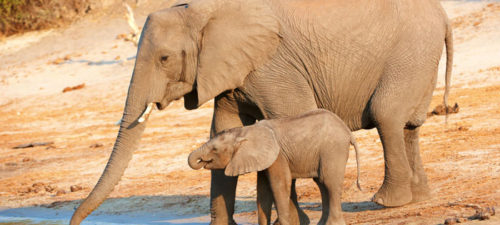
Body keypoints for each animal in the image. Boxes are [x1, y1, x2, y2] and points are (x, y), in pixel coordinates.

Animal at [188, 109, 360, 225]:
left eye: (215, 149)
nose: (200, 160)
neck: (245, 131)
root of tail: (347, 131)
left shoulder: (278, 156)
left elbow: (279, 185)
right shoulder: (265, 159)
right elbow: (263, 190)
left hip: (333, 150)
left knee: (329, 183)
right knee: (322, 184)